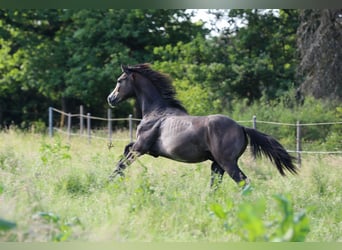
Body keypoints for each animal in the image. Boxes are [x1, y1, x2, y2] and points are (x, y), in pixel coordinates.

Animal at [107, 63, 296, 188]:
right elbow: (124, 152)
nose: (111, 98)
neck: (157, 112)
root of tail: (242, 128)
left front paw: (108, 182)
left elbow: (121, 163)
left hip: (228, 163)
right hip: (218, 165)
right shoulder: (146, 148)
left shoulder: (142, 147)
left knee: (244, 182)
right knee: (216, 186)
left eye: (119, 80)